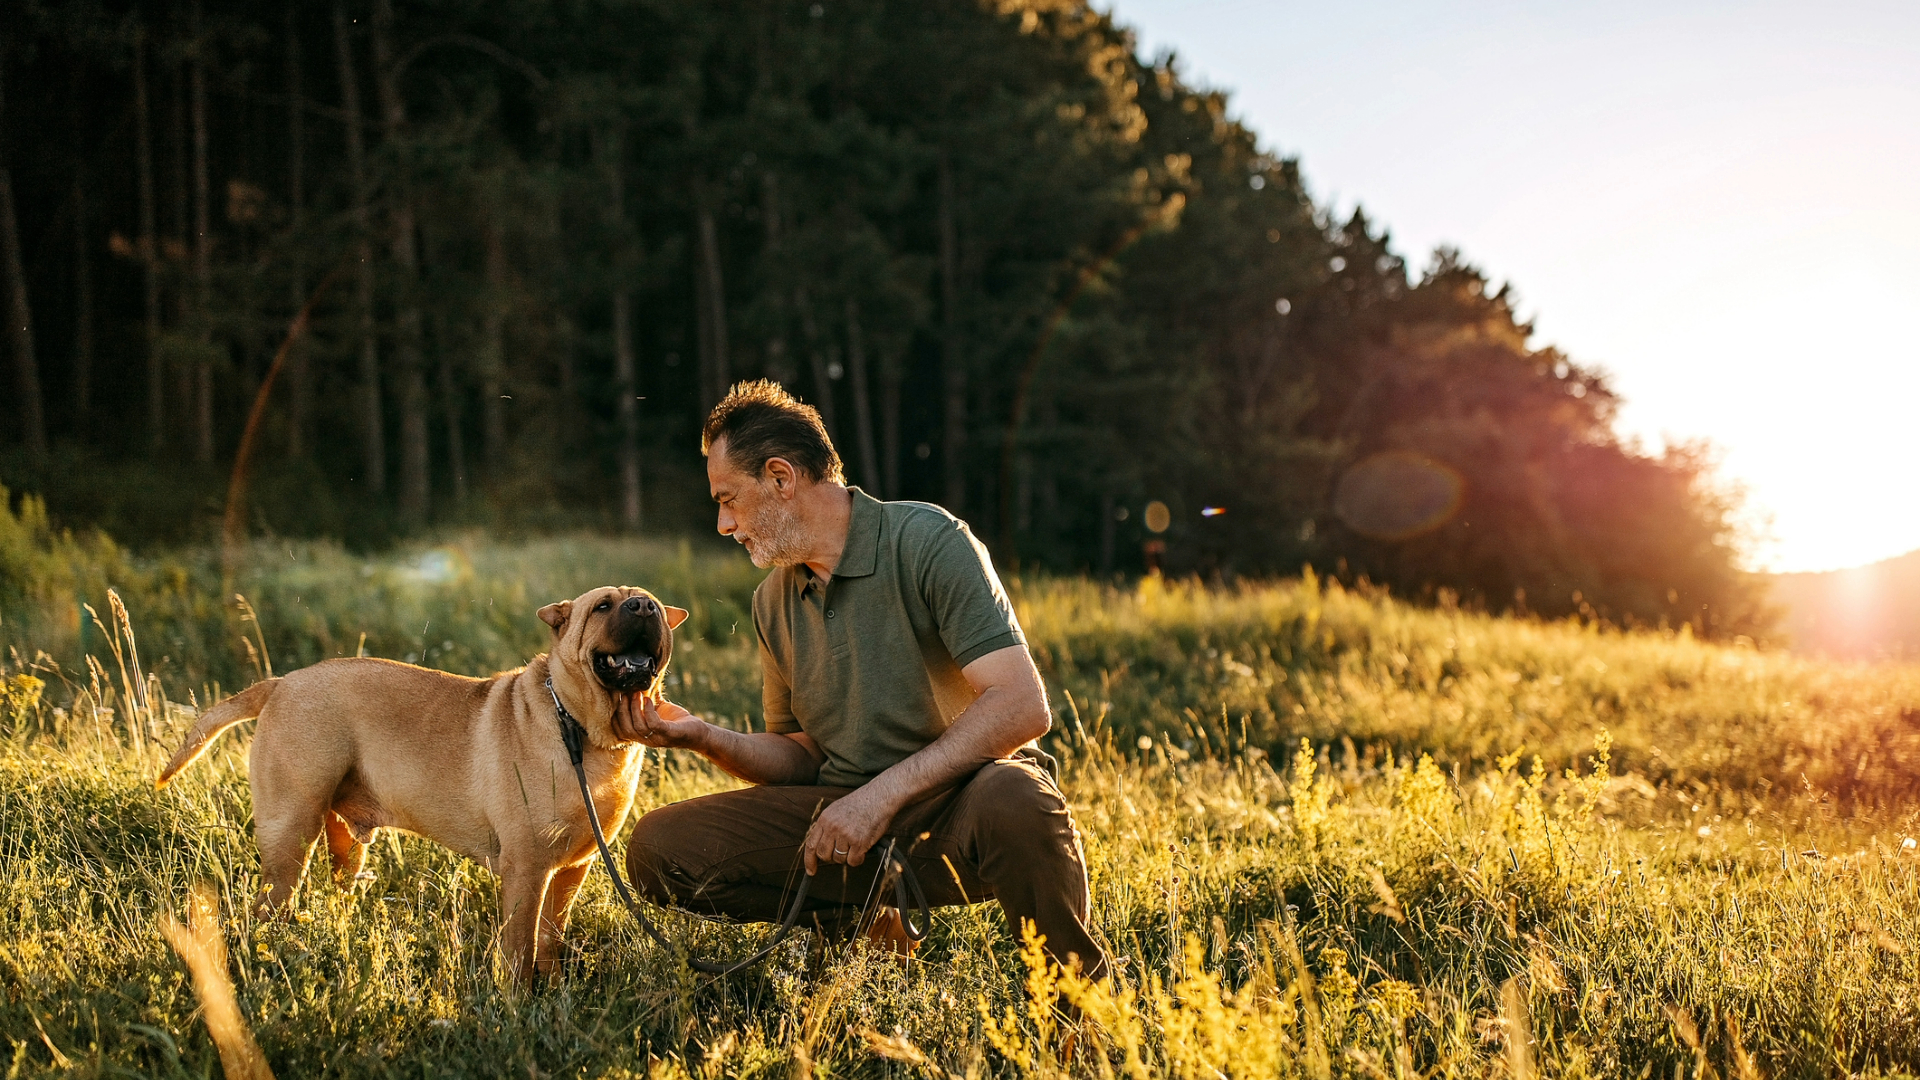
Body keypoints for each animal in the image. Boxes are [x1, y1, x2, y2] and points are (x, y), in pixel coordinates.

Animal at [155, 584, 691, 980]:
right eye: (603, 606)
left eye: (652, 605)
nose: (644, 606)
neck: (584, 730)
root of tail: (281, 682)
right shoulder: (527, 867)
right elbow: (520, 945)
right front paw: (518, 1002)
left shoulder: (573, 867)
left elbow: (550, 940)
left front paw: (555, 992)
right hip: (290, 832)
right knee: (269, 906)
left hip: (343, 843)